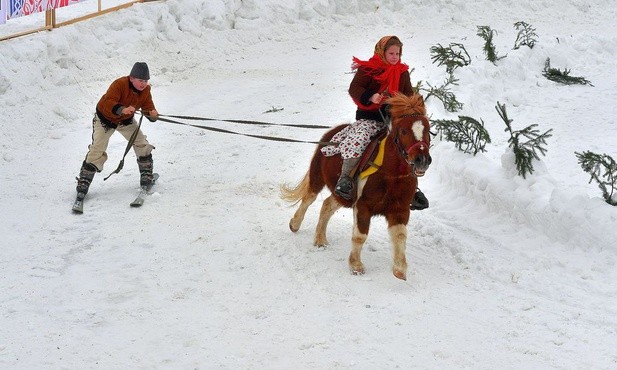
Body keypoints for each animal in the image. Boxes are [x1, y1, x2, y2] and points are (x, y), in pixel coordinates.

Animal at [282, 93, 430, 280]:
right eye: (403, 130)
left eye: (428, 129)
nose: (422, 160)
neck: (391, 174)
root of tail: (332, 132)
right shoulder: (363, 206)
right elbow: (360, 236)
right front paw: (356, 266)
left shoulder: (399, 209)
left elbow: (400, 236)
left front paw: (400, 270)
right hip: (317, 178)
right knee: (308, 199)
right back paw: (295, 224)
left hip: (342, 196)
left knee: (327, 205)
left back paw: (320, 239)